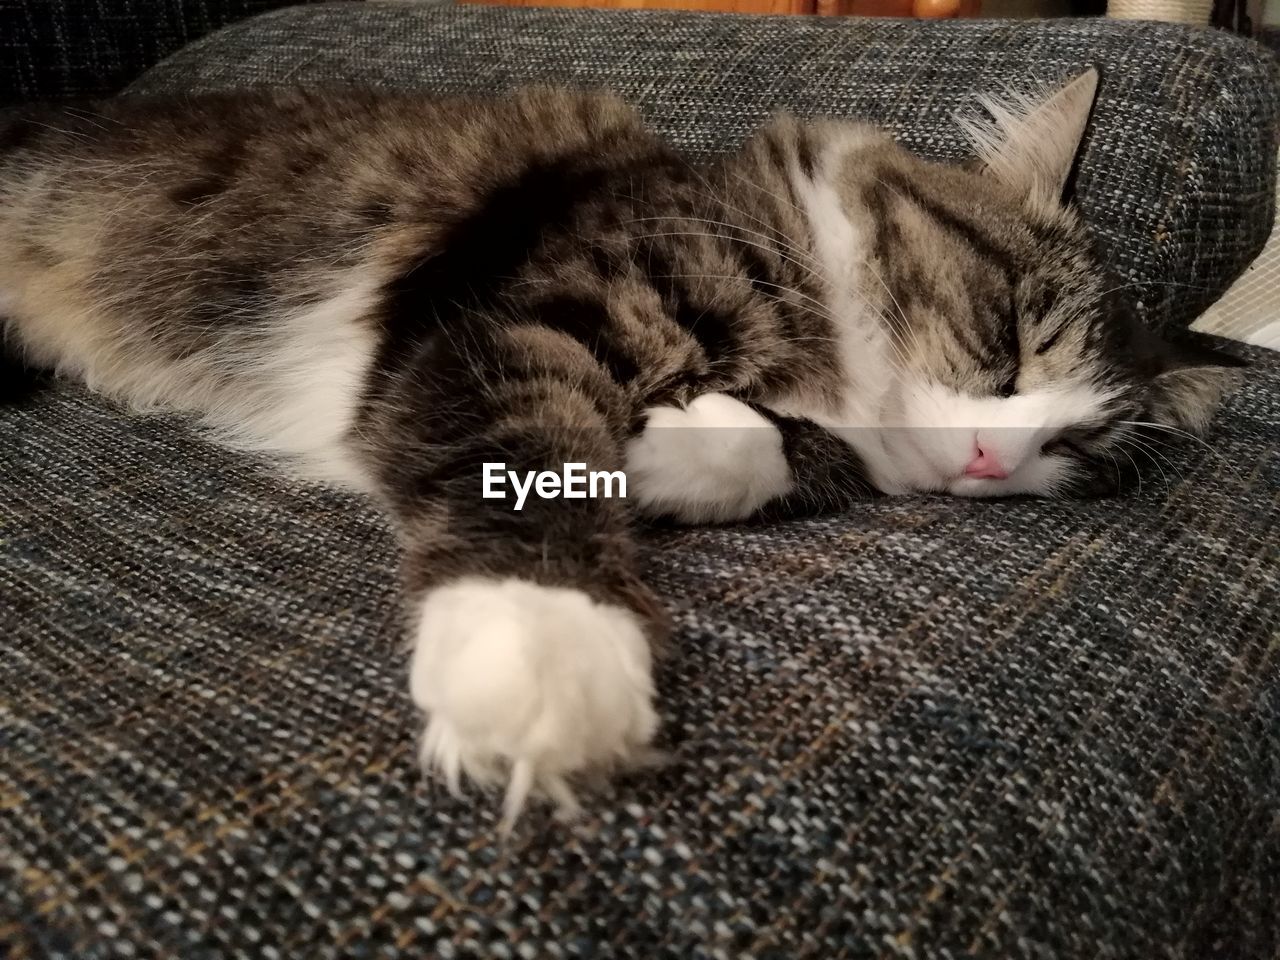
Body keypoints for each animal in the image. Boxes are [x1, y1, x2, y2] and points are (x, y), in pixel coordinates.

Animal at [0, 71, 1239, 829]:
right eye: (1010, 345)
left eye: (1067, 450)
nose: (990, 461)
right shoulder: (504, 322)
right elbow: (529, 459)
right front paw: (541, 643)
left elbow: (776, 455)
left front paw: (664, 457)